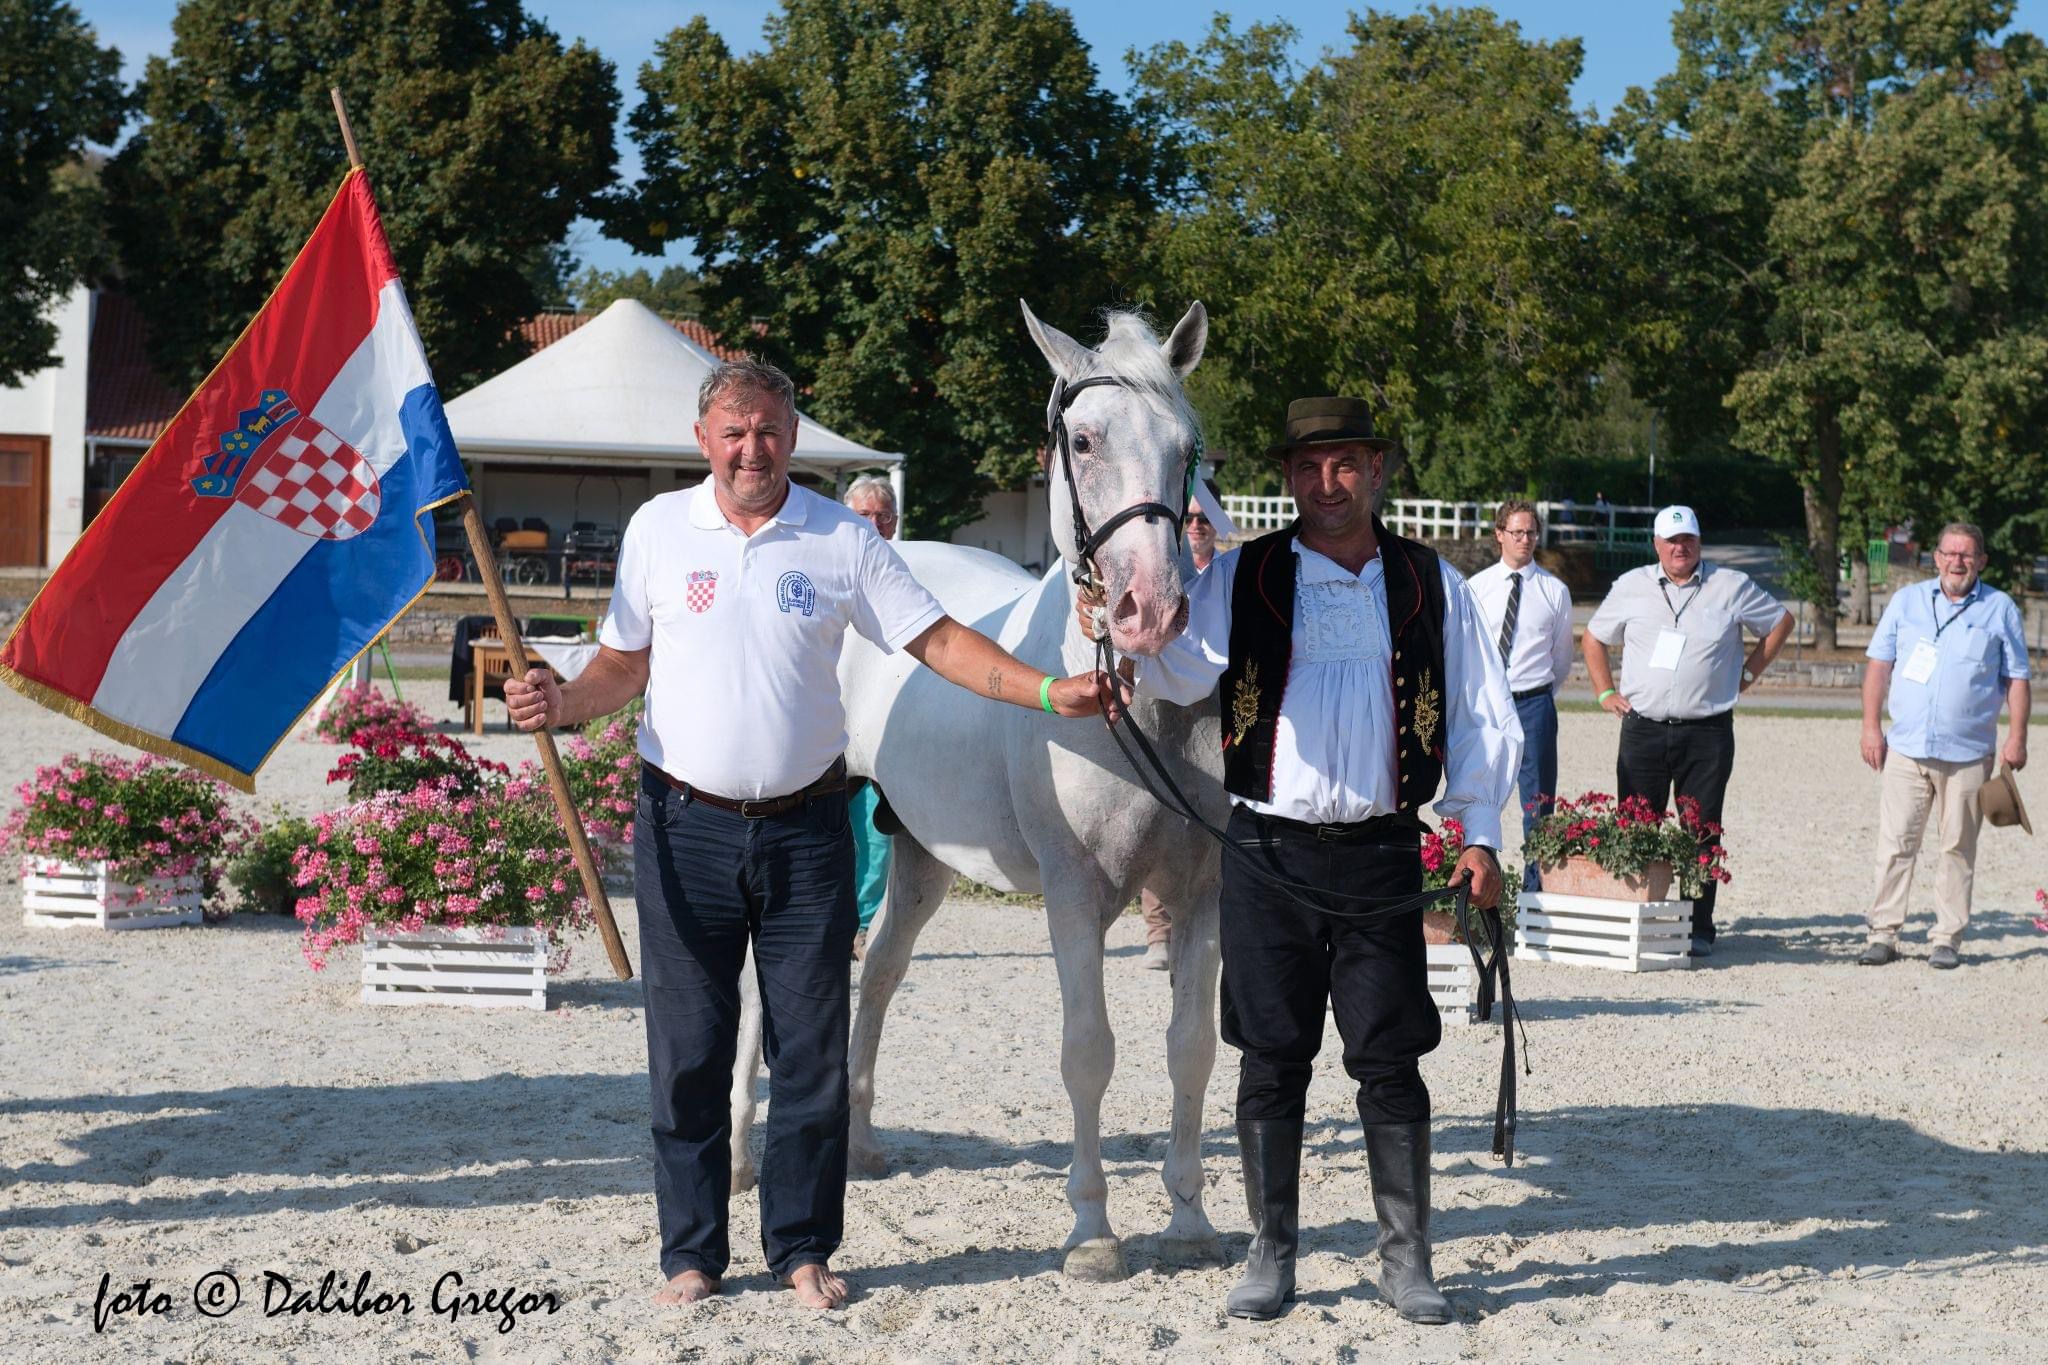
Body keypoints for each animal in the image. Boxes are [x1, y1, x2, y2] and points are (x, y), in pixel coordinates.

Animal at [729, 300, 1220, 1285]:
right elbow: (1088, 1052)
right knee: (766, 998)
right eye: (1083, 438)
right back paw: (734, 1157)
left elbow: (1190, 1051)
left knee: (879, 974)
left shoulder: (1202, 895)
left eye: (1188, 446)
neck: (1136, 714)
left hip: (918, 857)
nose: (1150, 610)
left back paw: (862, 1145)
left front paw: (1189, 1217)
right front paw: (1092, 1232)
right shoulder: (1074, 896)